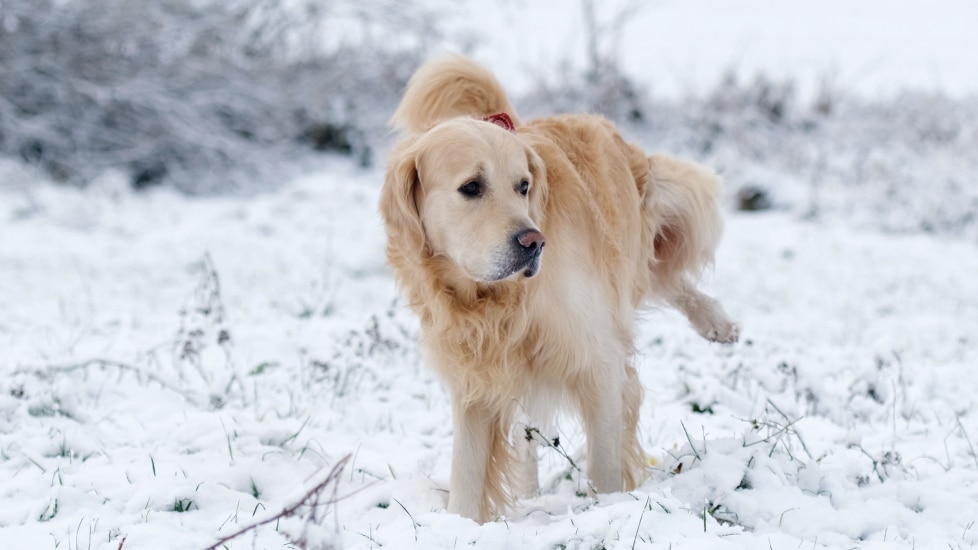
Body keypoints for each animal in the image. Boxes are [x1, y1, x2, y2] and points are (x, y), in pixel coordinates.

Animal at [378, 56, 736, 528]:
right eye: (471, 187)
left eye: (523, 186)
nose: (534, 242)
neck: (497, 300)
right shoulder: (476, 376)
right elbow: (467, 475)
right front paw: (460, 526)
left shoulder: (598, 360)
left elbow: (604, 464)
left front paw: (611, 511)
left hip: (647, 230)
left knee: (667, 271)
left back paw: (717, 322)